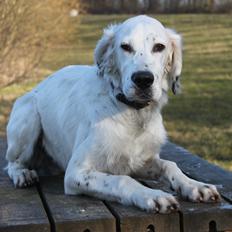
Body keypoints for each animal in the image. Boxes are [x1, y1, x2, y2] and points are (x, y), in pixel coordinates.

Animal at [5, 15, 219, 213]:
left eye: (159, 47)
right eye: (125, 46)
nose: (143, 79)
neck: (132, 114)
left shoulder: (141, 160)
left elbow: (170, 164)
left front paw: (194, 185)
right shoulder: (76, 172)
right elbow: (122, 180)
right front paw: (152, 196)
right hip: (29, 115)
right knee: (11, 163)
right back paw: (22, 174)